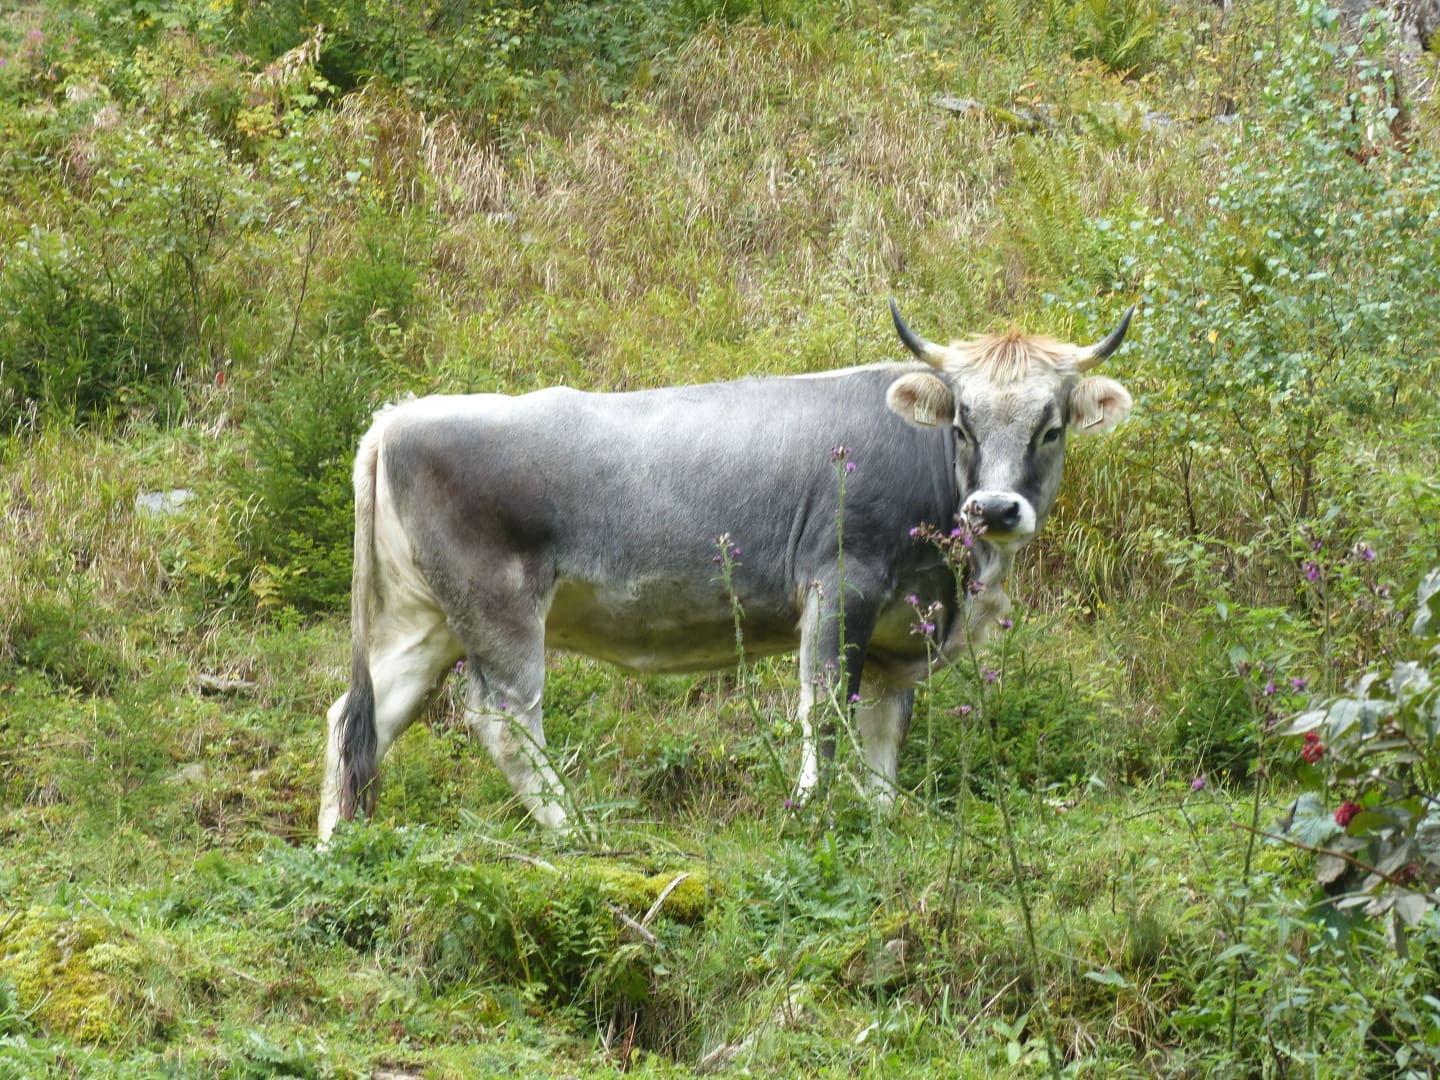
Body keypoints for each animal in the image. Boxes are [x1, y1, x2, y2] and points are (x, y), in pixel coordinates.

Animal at [317, 301, 1134, 838]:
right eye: (962, 422)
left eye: (1051, 427)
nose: (993, 508)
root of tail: (400, 415)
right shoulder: (841, 584)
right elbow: (824, 710)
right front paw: (811, 812)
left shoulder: (901, 629)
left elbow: (883, 733)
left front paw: (880, 822)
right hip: (499, 604)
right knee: (503, 716)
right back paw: (578, 829)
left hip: (420, 620)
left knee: (359, 718)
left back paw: (339, 848)